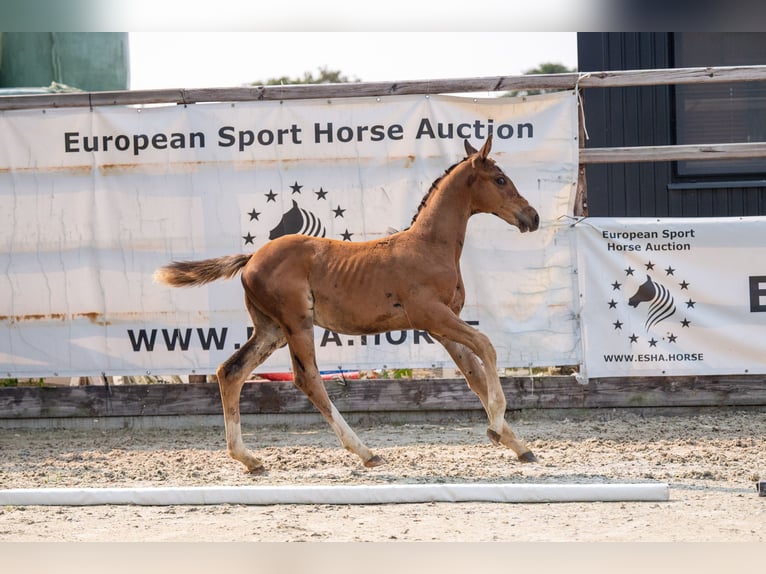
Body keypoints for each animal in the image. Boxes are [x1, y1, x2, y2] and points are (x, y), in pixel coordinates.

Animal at [154, 137, 540, 474]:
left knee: (231, 371)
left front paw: (518, 446)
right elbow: (487, 347)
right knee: (307, 378)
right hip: (296, 322)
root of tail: (251, 259)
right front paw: (495, 428)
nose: (532, 217)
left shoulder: (443, 327)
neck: (429, 247)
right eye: (500, 179)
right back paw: (365, 452)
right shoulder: (434, 316)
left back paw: (249, 459)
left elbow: (474, 375)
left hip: (271, 329)